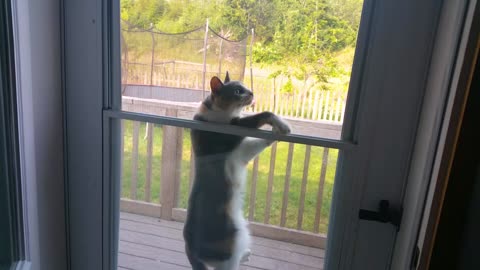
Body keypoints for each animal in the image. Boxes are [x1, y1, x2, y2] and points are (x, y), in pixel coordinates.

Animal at [183, 72, 288, 270]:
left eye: (245, 86)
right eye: (238, 91)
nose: (252, 92)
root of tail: (190, 249)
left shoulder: (241, 154)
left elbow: (259, 143)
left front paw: (276, 131)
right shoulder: (232, 132)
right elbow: (262, 115)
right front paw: (282, 124)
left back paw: (245, 255)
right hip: (234, 240)